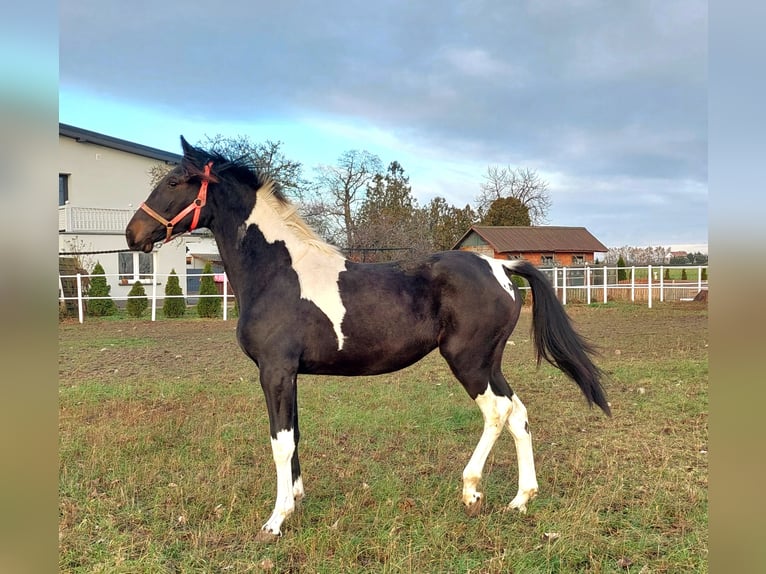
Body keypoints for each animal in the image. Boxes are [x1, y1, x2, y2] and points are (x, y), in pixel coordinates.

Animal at [126, 137, 612, 544]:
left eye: (173, 182)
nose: (133, 234)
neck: (277, 271)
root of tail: (501, 266)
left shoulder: (275, 371)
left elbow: (280, 442)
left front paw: (275, 521)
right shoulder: (288, 375)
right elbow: (295, 435)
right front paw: (296, 501)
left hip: (468, 362)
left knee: (496, 413)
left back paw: (471, 492)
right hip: (490, 363)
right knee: (518, 413)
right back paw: (520, 499)